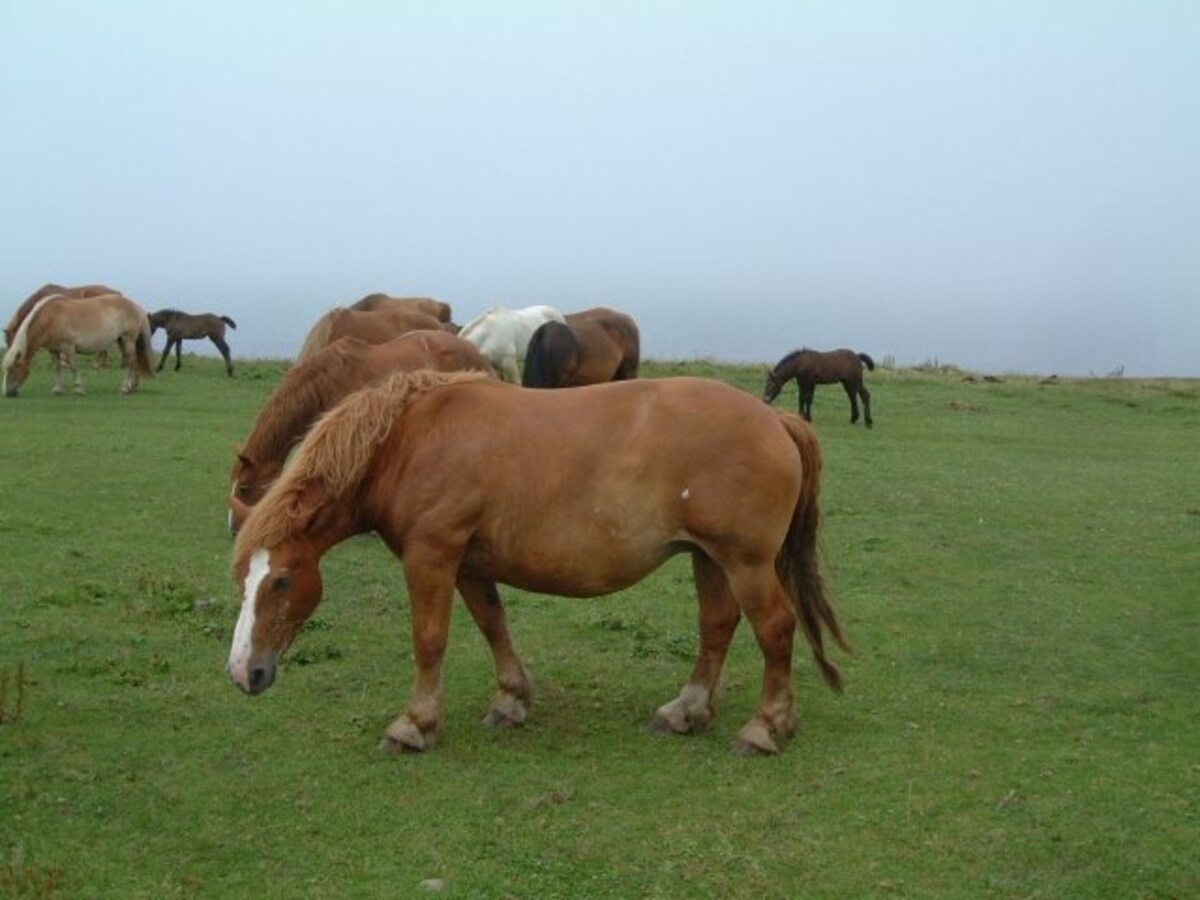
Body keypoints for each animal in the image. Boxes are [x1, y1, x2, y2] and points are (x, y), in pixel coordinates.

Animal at [3, 293, 153, 396]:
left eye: (12, 369)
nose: (7, 393)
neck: (51, 318)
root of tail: (135, 306)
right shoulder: (53, 350)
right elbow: (57, 367)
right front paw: (58, 389)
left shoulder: (68, 346)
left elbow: (73, 366)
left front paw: (79, 388)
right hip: (121, 341)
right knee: (133, 363)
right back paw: (132, 387)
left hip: (128, 341)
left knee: (131, 363)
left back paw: (125, 388)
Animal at [228, 370, 849, 757]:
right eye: (243, 580)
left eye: (281, 580)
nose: (243, 674)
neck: (409, 441)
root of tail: (775, 421)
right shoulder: (469, 563)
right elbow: (492, 624)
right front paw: (511, 700)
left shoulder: (433, 554)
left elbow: (429, 640)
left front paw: (415, 725)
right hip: (710, 558)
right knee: (717, 627)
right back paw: (686, 711)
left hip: (745, 562)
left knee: (775, 629)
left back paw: (766, 727)